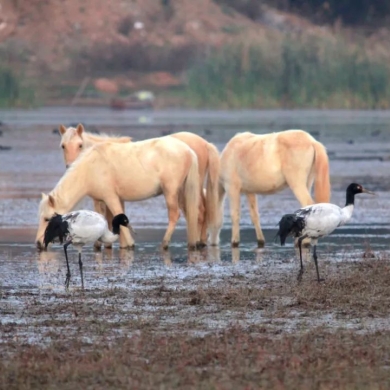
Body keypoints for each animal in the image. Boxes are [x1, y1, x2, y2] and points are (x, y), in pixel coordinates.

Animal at [35, 137, 200, 251]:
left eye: (47, 219)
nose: (38, 243)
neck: (90, 168)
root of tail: (189, 150)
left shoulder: (111, 197)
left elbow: (118, 214)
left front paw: (129, 244)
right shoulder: (99, 200)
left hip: (170, 191)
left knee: (174, 215)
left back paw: (164, 244)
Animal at [59, 125, 221, 247]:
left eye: (80, 145)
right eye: (63, 146)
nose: (69, 166)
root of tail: (204, 143)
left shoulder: (103, 199)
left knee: (199, 212)